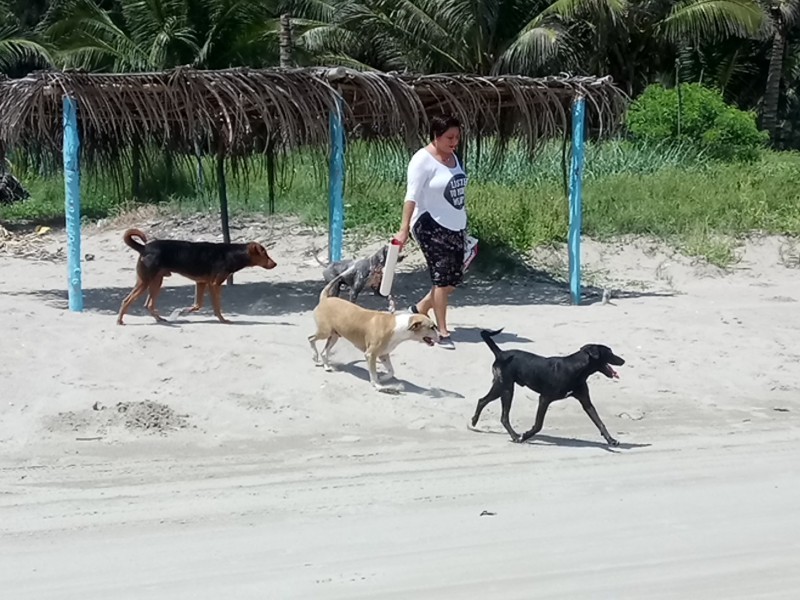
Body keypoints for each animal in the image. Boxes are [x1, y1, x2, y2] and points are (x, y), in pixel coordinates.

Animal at [115, 229, 278, 324]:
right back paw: (120, 320)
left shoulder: (201, 283)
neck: (232, 254)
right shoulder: (214, 284)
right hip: (145, 281)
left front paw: (184, 311)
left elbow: (198, 305)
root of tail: (143, 247)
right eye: (265, 254)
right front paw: (222, 319)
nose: (275, 264)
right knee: (126, 300)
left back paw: (160, 319)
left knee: (148, 304)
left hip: (156, 281)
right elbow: (217, 306)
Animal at [310, 272, 440, 394]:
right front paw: (377, 385)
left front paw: (383, 378)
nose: (440, 337)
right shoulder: (370, 354)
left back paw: (326, 366)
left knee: (324, 352)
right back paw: (315, 356)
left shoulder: (383, 354)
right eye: (432, 327)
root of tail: (325, 299)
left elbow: (391, 371)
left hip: (334, 336)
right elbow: (373, 372)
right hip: (324, 332)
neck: (397, 326)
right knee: (311, 339)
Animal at [468, 328, 624, 446]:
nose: (623, 360)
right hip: (506, 388)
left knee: (483, 401)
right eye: (609, 352)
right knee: (502, 415)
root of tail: (501, 353)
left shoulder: (585, 401)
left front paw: (611, 440)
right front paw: (525, 435)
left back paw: (475, 422)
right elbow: (538, 425)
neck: (576, 368)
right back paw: (515, 436)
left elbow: (599, 422)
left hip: (502, 387)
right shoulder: (544, 399)